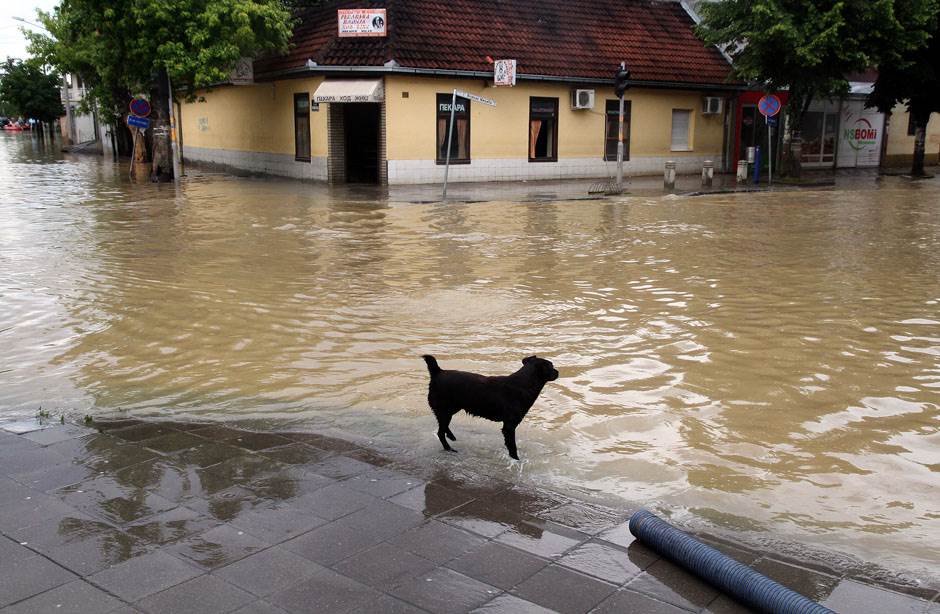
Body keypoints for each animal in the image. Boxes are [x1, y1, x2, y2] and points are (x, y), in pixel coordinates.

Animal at [420, 356, 560, 462]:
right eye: (551, 366)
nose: (558, 372)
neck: (524, 384)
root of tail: (438, 372)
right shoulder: (509, 426)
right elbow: (512, 446)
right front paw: (516, 459)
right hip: (445, 409)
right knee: (440, 432)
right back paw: (449, 448)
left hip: (450, 409)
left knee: (443, 427)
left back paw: (451, 437)